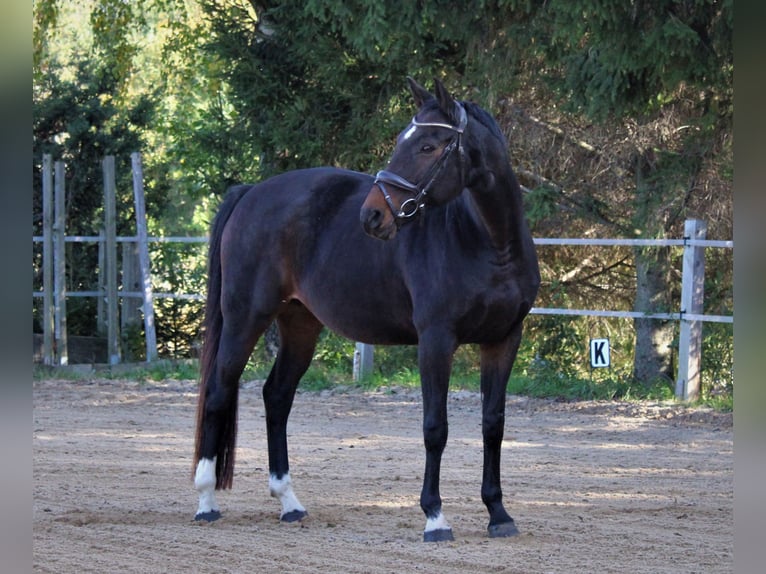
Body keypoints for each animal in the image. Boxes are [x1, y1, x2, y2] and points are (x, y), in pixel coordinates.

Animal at [194, 77, 540, 544]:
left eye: (428, 145)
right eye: (400, 141)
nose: (373, 216)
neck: (489, 243)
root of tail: (252, 192)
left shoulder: (504, 339)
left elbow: (493, 425)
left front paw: (498, 513)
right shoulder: (436, 340)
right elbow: (435, 427)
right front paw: (435, 517)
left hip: (300, 324)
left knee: (277, 396)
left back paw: (289, 503)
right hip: (245, 316)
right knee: (218, 391)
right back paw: (206, 502)